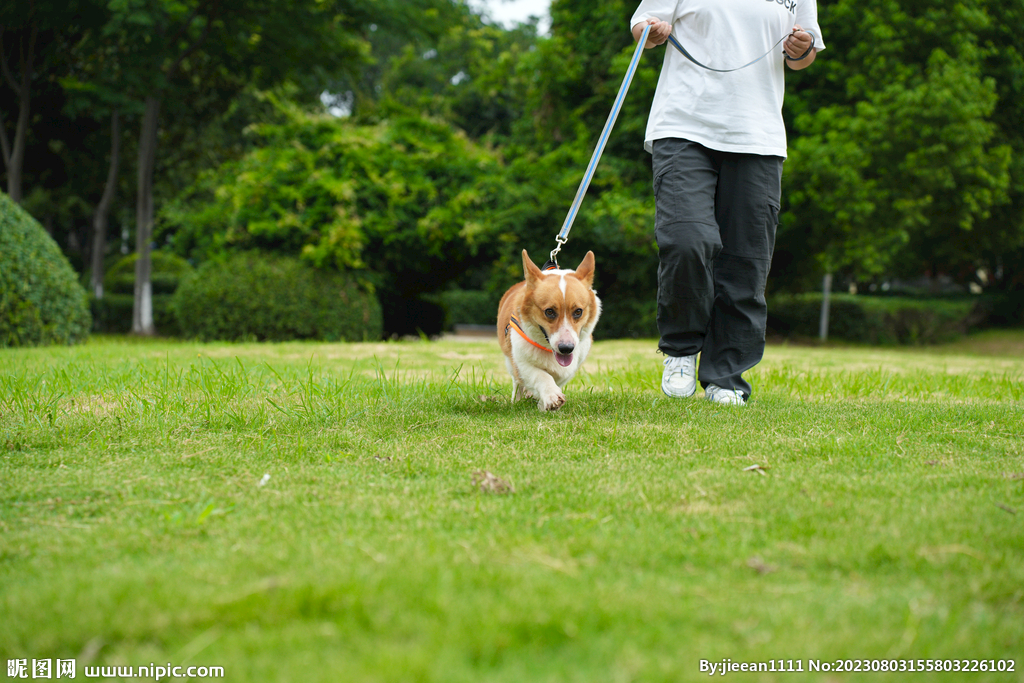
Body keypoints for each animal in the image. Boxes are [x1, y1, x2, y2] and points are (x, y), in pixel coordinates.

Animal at [495, 250, 598, 411]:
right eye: (549, 312)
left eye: (578, 311)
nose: (566, 348)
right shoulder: (521, 363)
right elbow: (540, 376)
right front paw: (551, 396)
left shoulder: (568, 370)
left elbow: (556, 378)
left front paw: (542, 403)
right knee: (517, 384)